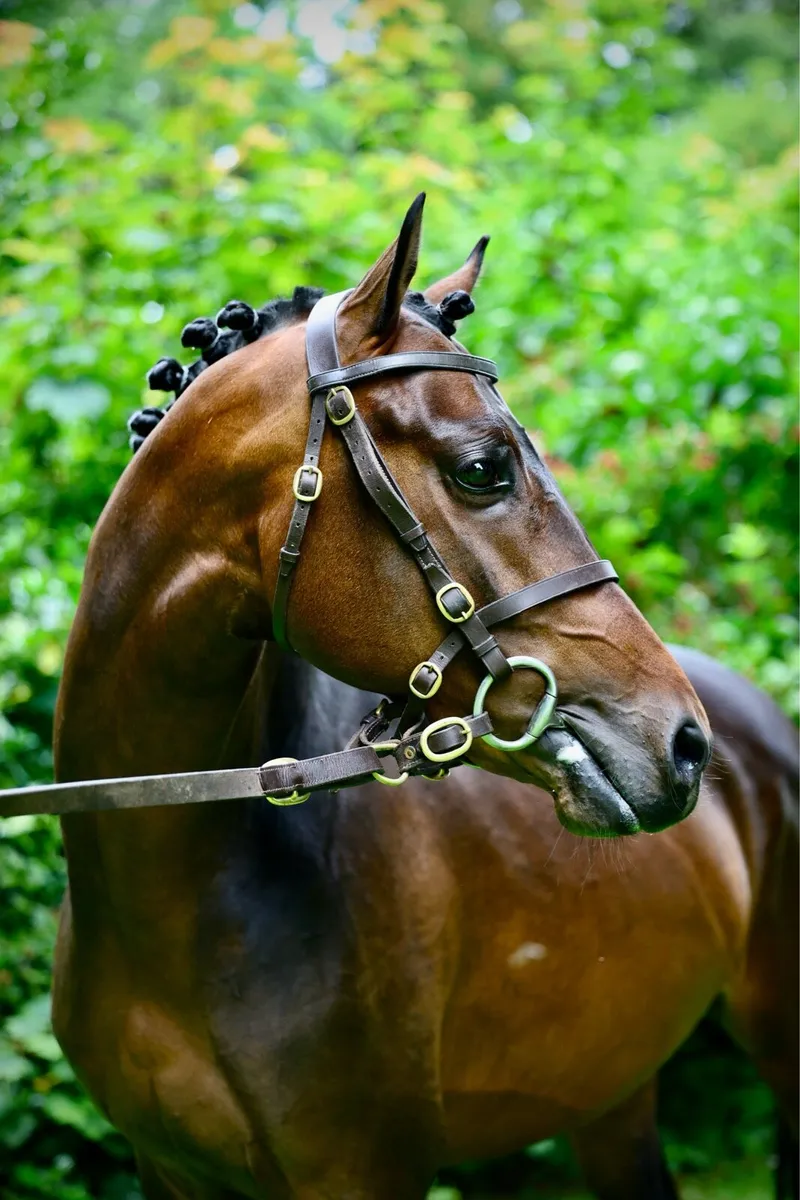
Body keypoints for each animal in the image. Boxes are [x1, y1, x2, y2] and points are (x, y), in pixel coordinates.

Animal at [45, 196, 796, 1198]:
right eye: (483, 468)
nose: (683, 743)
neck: (161, 907)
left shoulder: (363, 1170)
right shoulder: (165, 1169)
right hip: (610, 1097)